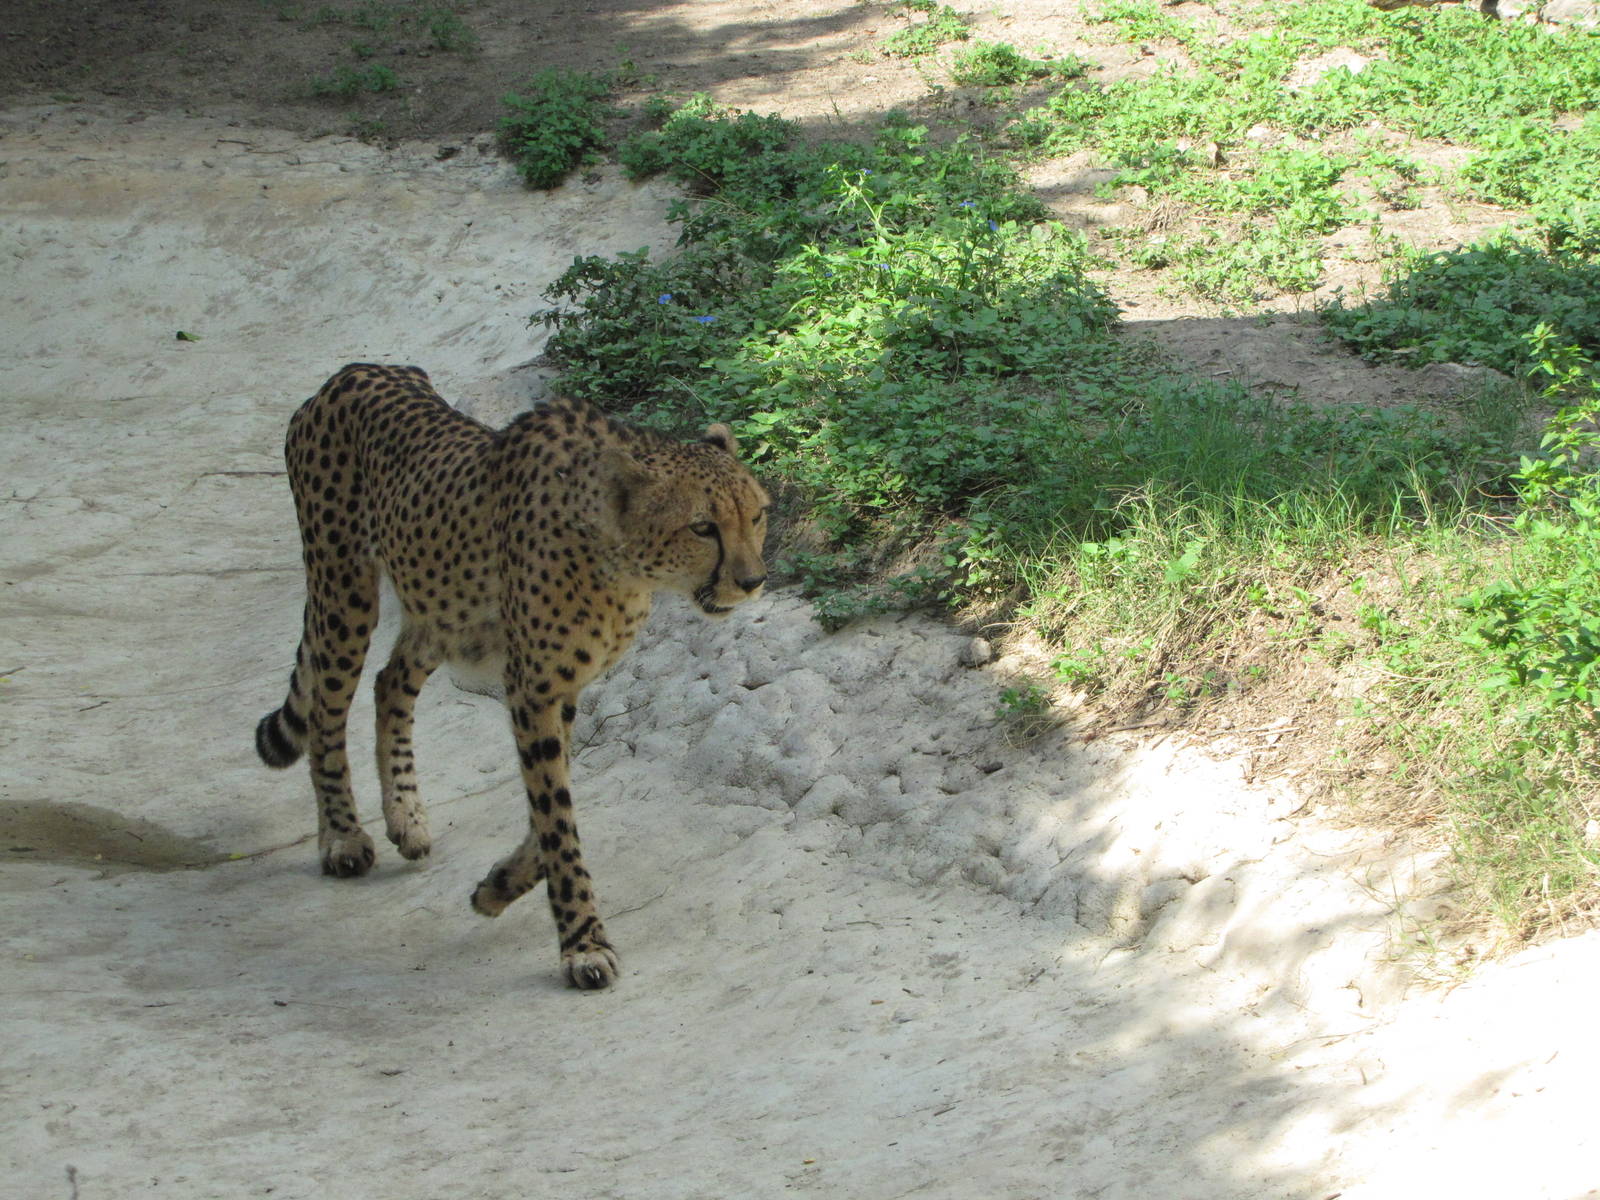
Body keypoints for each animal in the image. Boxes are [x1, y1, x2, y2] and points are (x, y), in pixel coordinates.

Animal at [254, 363, 770, 989]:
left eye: (757, 515)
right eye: (702, 527)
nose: (752, 581)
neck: (616, 557)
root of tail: (353, 371)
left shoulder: (560, 686)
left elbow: (551, 802)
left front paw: (497, 887)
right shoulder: (534, 687)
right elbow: (556, 816)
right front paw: (582, 942)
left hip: (443, 612)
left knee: (389, 681)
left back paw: (406, 815)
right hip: (343, 590)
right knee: (329, 711)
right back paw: (343, 836)